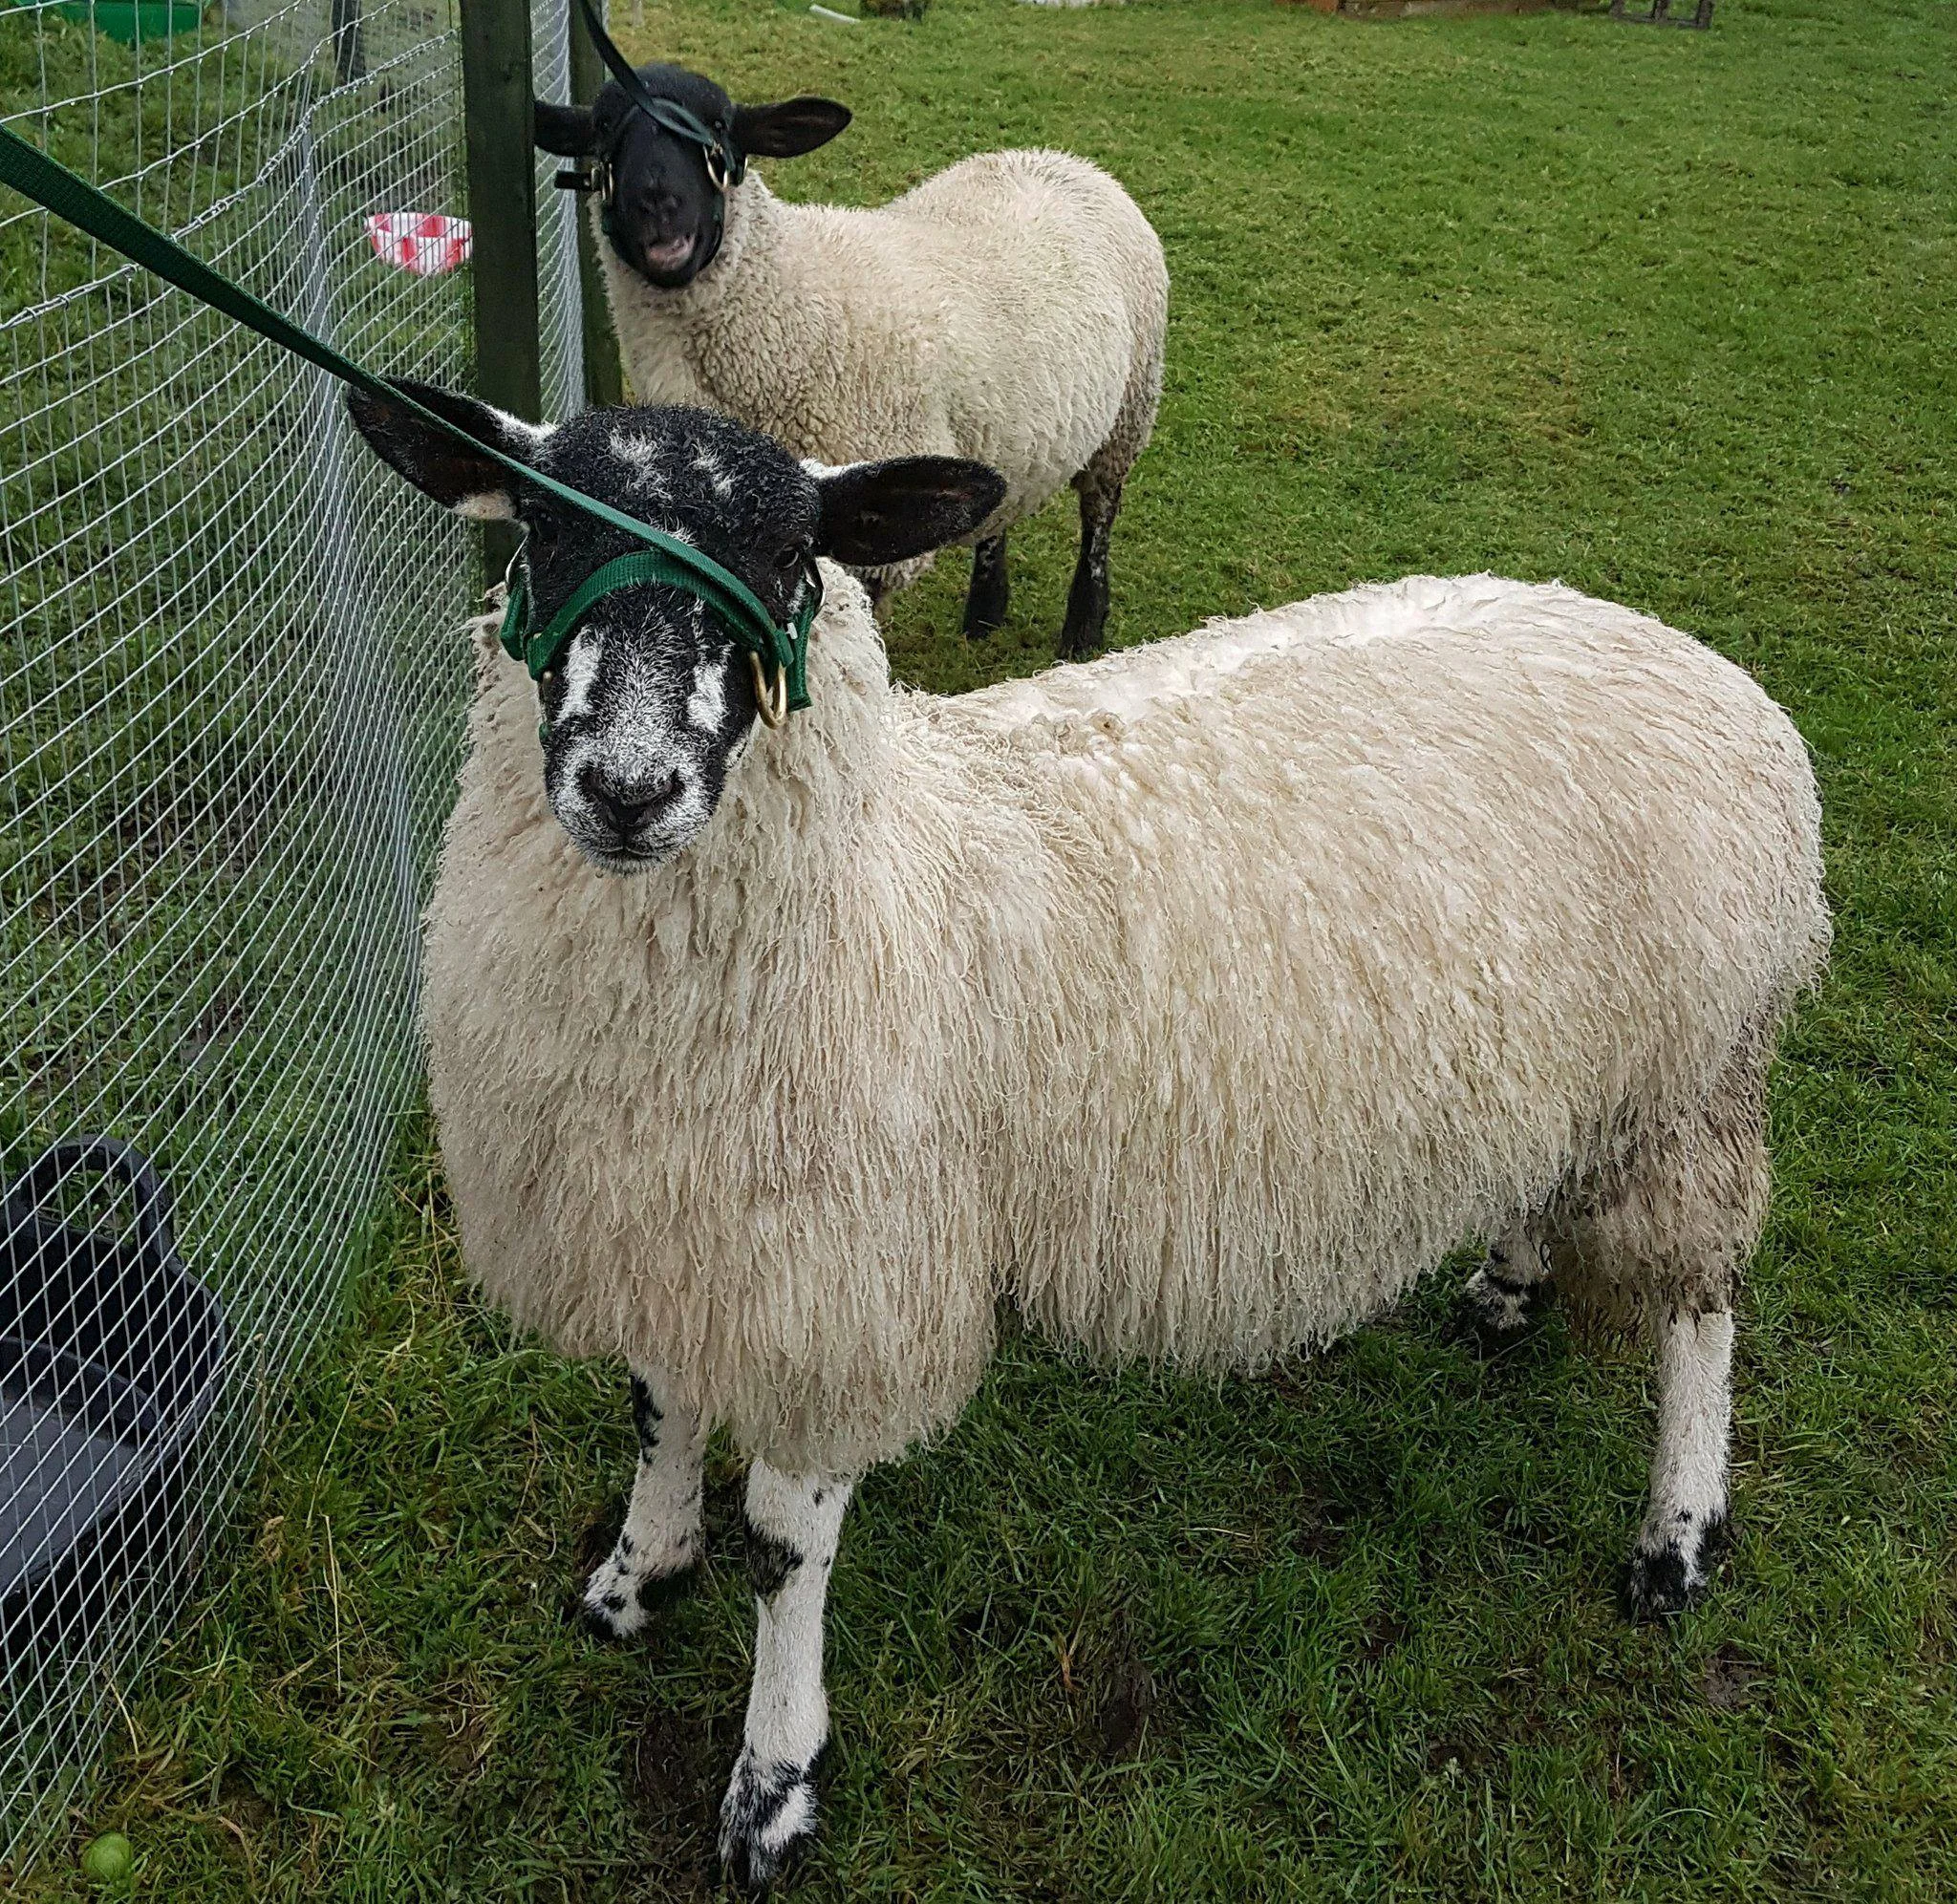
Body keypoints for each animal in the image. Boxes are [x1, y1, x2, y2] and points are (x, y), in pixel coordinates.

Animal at [345, 387, 1830, 1892]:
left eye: (787, 556)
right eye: (539, 528)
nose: (629, 787)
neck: (885, 875)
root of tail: (1699, 665)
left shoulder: (846, 1279)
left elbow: (781, 1550)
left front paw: (771, 1784)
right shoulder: (668, 1223)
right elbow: (657, 1412)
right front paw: (635, 1576)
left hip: (1691, 1081)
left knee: (1702, 1309)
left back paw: (1676, 1538)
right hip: (1575, 1068)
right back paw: (1510, 1286)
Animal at [533, 62, 1169, 657]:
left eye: (718, 125)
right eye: (604, 128)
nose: (658, 204)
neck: (786, 303)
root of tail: (1064, 160)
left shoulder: (873, 523)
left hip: (1129, 409)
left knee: (1099, 517)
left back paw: (1083, 629)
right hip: (1007, 427)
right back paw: (985, 615)